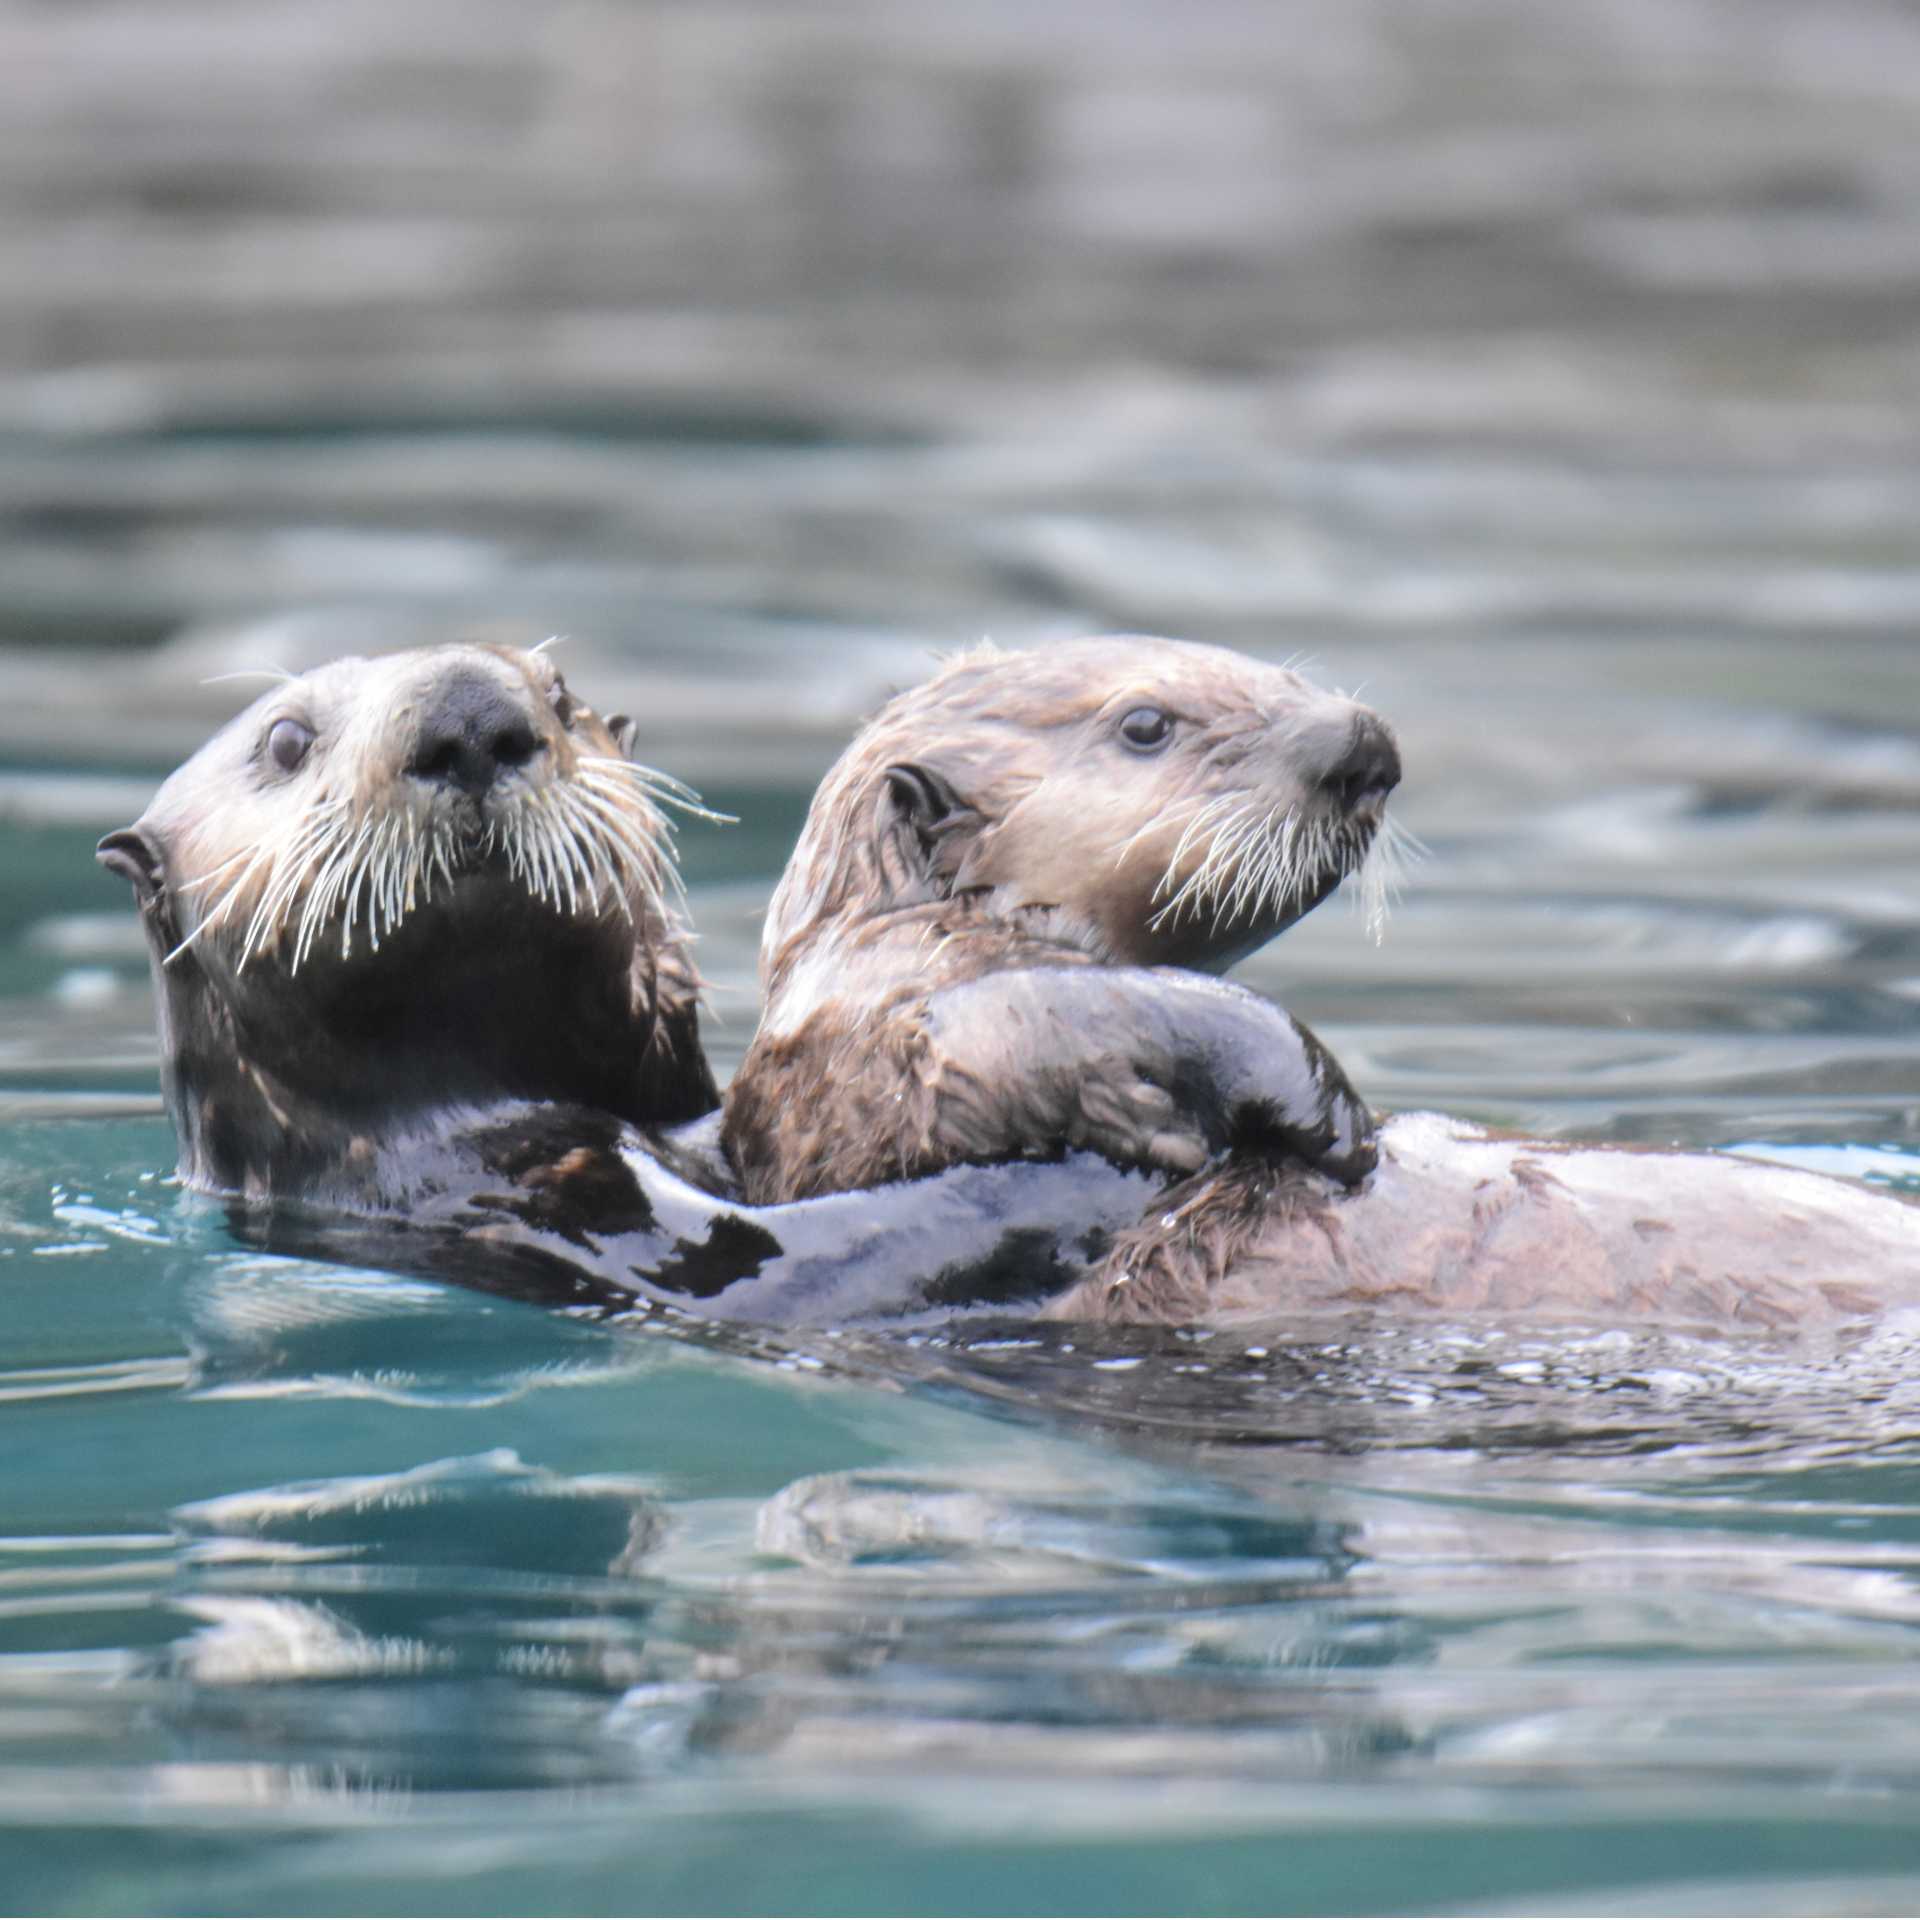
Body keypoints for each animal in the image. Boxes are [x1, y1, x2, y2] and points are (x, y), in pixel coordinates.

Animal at [729, 636, 1920, 1332]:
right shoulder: (865, 1044)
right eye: (1146, 724)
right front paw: (1329, 1114)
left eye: (1291, 679)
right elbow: (1024, 1028)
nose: (1361, 742)